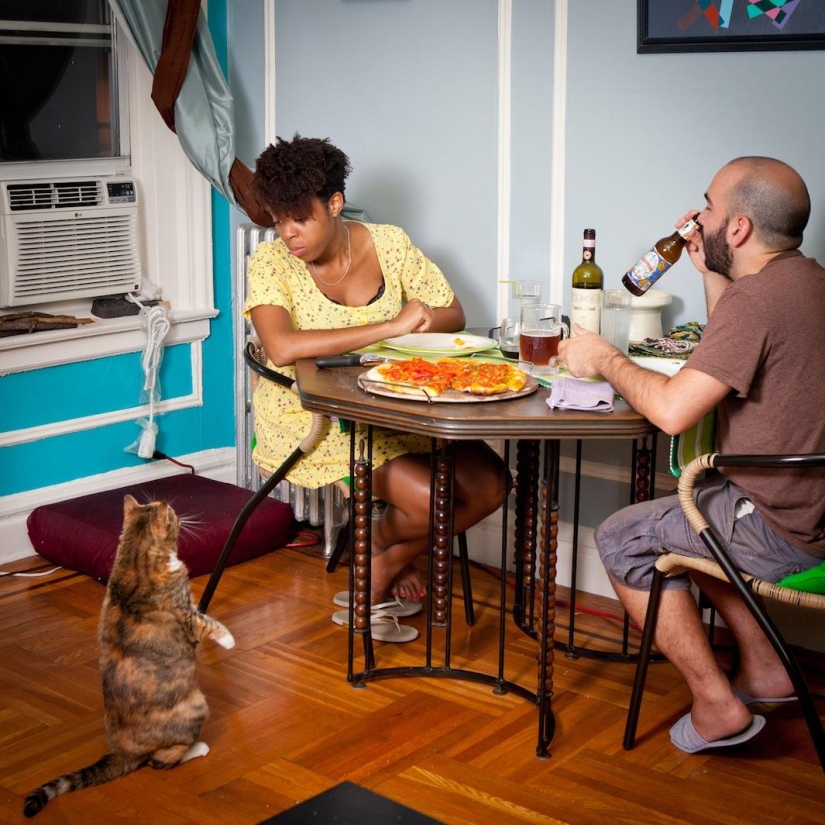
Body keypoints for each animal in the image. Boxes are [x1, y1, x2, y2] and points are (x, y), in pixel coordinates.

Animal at [23, 492, 235, 816]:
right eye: (174, 515)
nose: (182, 516)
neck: (135, 554)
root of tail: (124, 752)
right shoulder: (186, 614)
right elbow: (208, 621)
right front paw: (229, 639)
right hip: (197, 705)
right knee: (160, 760)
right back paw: (198, 748)